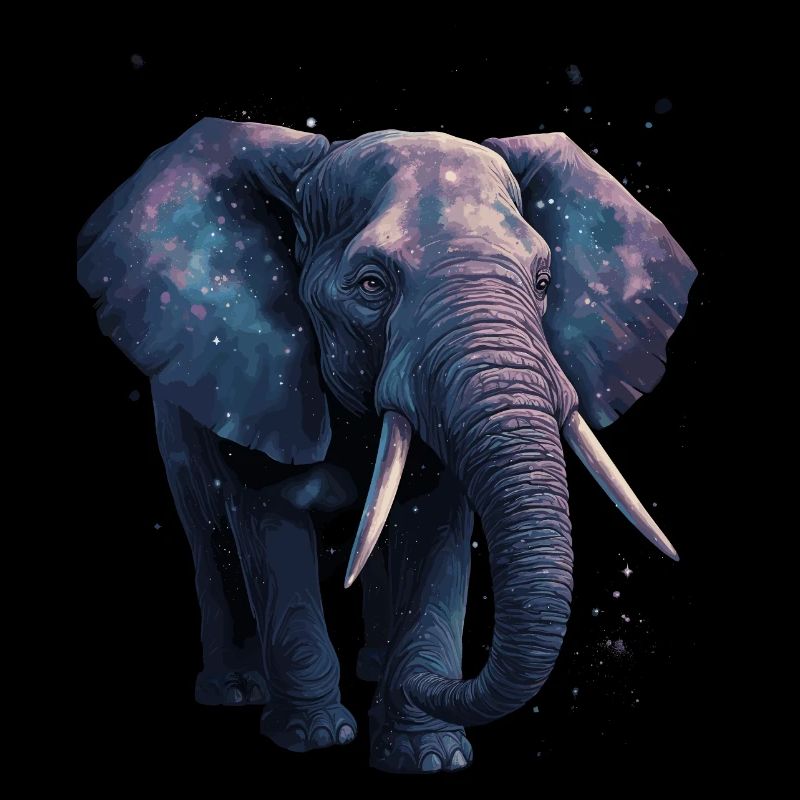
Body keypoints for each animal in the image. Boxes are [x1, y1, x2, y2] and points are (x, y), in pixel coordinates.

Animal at [77, 119, 695, 774]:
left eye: (545, 282)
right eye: (372, 285)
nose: (433, 681)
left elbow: (438, 525)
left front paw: (429, 754)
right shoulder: (255, 381)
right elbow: (271, 519)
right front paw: (316, 736)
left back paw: (374, 668)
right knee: (208, 529)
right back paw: (236, 690)